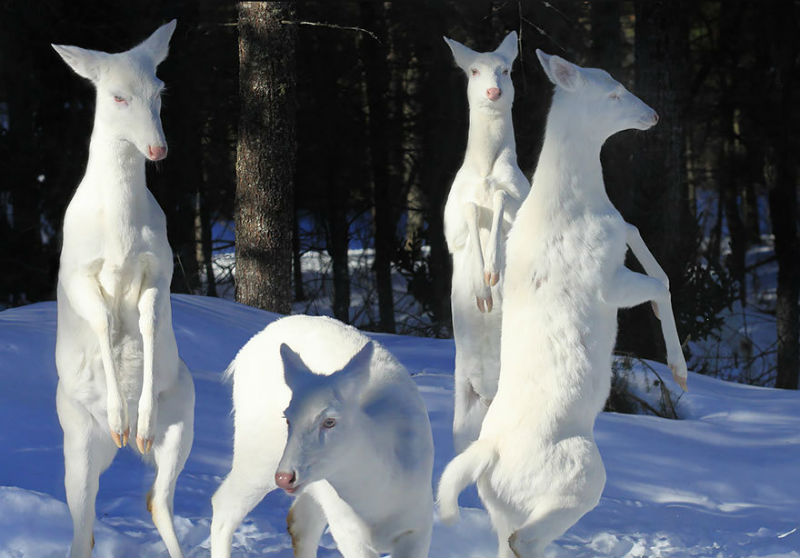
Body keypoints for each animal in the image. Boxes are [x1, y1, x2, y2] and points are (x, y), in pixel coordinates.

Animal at [52, 18, 195, 558]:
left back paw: (141, 436)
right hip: (75, 437)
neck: (121, 232)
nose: (157, 149)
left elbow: (150, 321)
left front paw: (142, 419)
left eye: (159, 90)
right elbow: (100, 322)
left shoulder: (160, 267)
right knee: (82, 522)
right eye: (117, 96)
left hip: (186, 419)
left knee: (157, 499)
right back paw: (118, 430)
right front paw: (119, 416)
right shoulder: (76, 271)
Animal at [206, 318, 432, 556]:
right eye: (287, 418)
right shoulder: (346, 530)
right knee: (224, 505)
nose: (285, 477)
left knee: (299, 523)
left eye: (330, 421)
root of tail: (241, 356)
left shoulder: (420, 524)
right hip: (257, 454)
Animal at [434, 52, 692, 558]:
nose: (652, 114)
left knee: (506, 537)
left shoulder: (616, 238)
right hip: (581, 475)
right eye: (613, 93)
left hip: (503, 505)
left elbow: (639, 237)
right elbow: (660, 284)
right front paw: (679, 370)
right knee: (524, 537)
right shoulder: (607, 282)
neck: (580, 201)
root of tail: (487, 457)